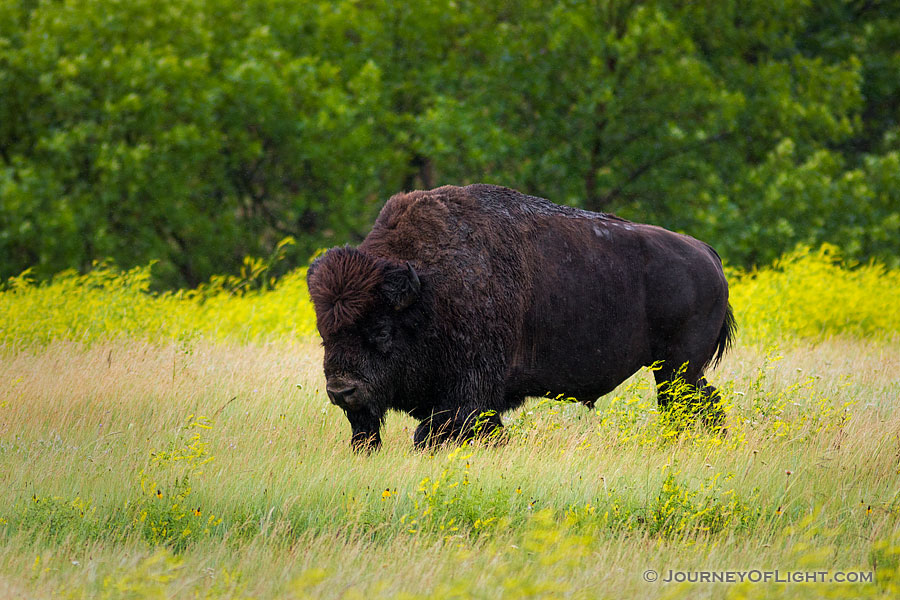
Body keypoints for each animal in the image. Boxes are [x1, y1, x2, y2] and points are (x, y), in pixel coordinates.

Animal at [306, 183, 736, 450]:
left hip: (676, 368)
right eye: (325, 333)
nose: (341, 390)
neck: (428, 291)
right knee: (704, 402)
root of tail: (708, 255)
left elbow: (435, 431)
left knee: (685, 405)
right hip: (680, 370)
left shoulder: (470, 392)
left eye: (381, 330)